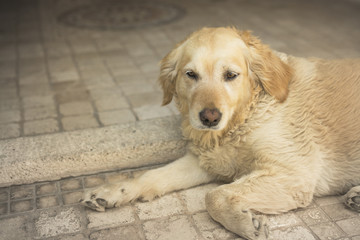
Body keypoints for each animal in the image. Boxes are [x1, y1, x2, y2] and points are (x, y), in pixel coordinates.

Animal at [81, 27, 360, 238]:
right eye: (191, 74)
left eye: (231, 75)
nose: (209, 118)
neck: (241, 121)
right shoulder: (205, 160)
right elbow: (151, 175)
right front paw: (113, 191)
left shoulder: (294, 173)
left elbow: (213, 196)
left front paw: (247, 224)